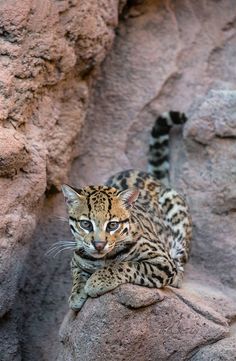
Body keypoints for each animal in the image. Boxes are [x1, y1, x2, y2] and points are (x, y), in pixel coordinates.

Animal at [60, 110, 192, 310]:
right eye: (86, 224)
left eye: (112, 225)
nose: (99, 245)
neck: (102, 258)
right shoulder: (76, 258)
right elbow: (78, 273)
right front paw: (76, 293)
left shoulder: (161, 261)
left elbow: (127, 265)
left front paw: (96, 281)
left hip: (177, 213)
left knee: (180, 264)